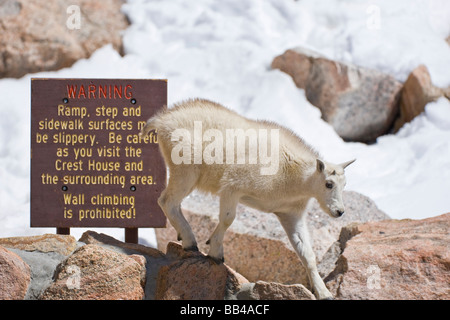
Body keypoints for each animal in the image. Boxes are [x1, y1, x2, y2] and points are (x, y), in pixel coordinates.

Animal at [140, 99, 356, 298]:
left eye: (345, 184)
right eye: (329, 184)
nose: (339, 212)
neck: (295, 176)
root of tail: (162, 120)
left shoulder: (290, 214)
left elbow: (306, 252)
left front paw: (324, 293)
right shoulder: (232, 187)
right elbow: (228, 219)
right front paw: (215, 252)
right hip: (186, 171)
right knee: (167, 201)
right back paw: (190, 241)